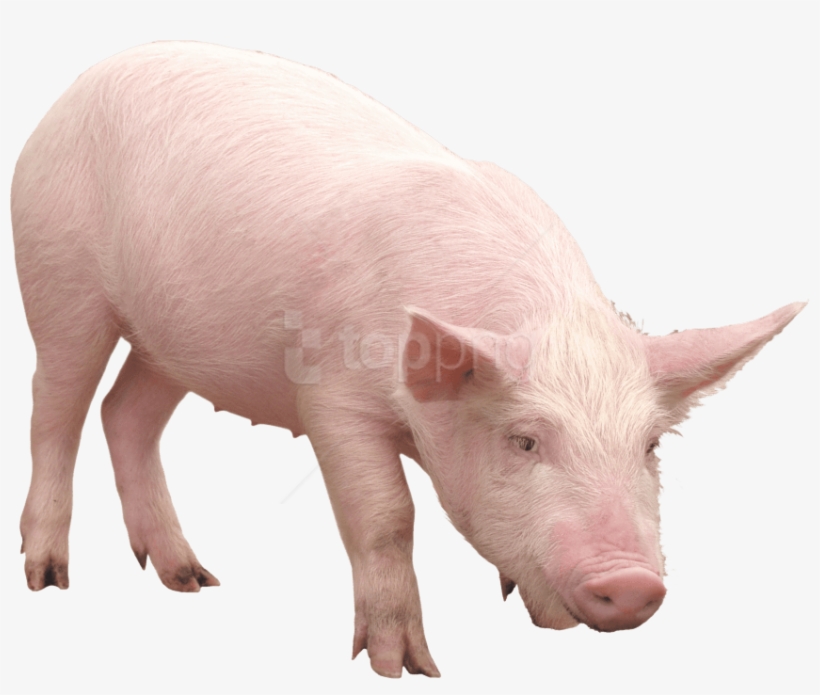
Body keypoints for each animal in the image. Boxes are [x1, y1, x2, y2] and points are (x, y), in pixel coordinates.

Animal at [11, 41, 804, 678]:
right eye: (524, 440)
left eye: (649, 447)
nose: (636, 584)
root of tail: (76, 87)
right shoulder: (332, 400)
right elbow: (388, 515)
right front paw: (407, 668)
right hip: (58, 277)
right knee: (55, 407)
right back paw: (48, 577)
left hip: (171, 339)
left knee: (125, 414)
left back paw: (191, 578)